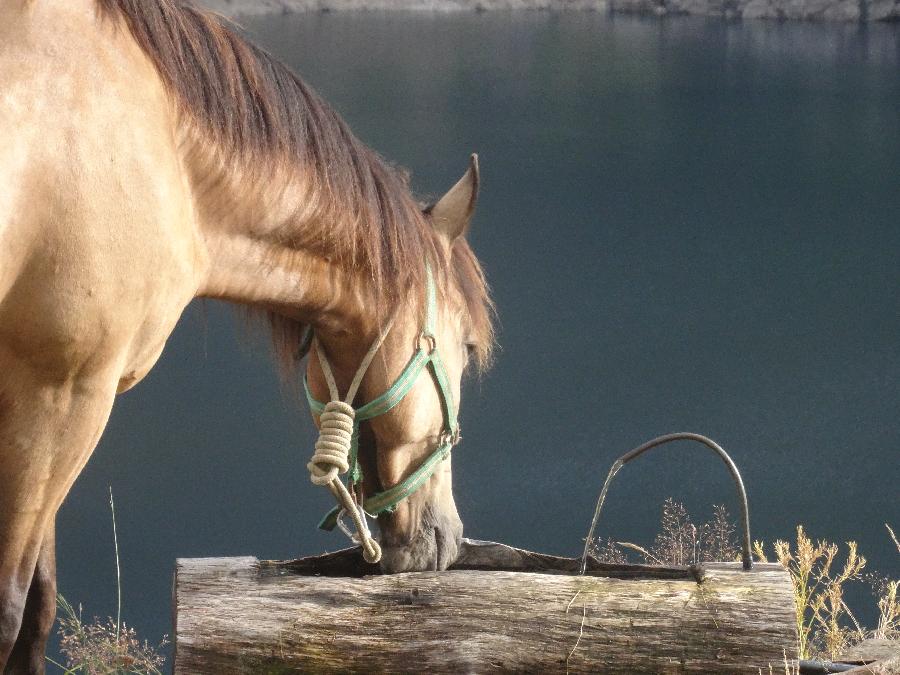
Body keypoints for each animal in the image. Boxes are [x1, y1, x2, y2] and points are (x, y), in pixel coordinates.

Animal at [0, 0, 492, 672]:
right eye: (466, 348)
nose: (447, 536)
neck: (164, 148)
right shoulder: (64, 392)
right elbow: (13, 611)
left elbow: (38, 608)